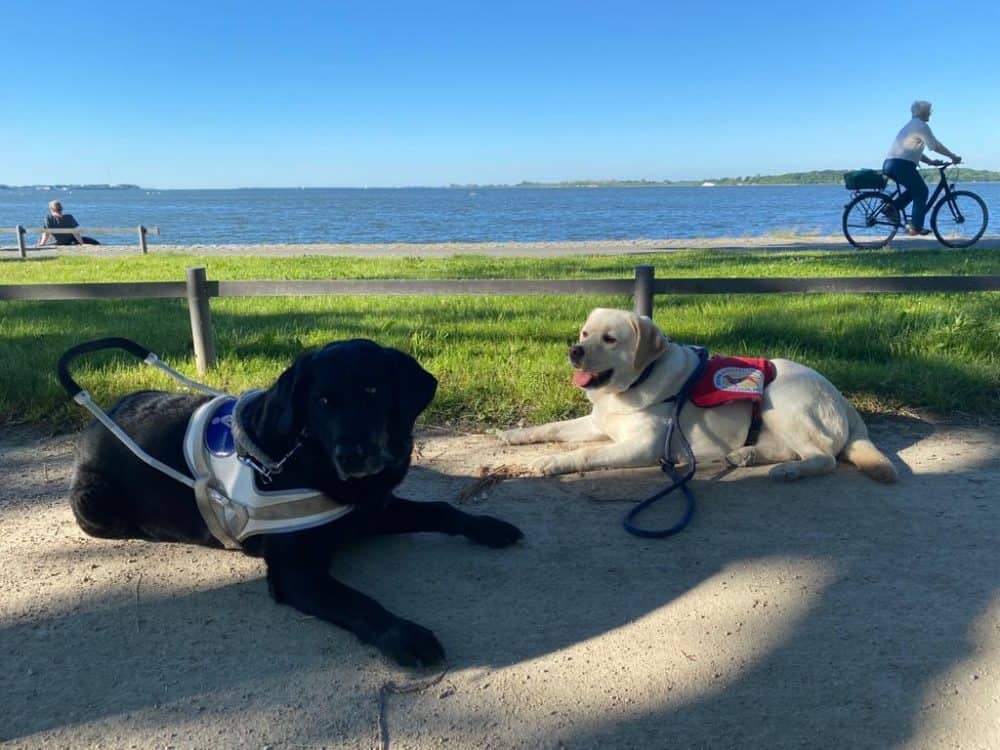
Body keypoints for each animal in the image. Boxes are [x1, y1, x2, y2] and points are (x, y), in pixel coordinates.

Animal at [70, 340, 524, 664]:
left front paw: (487, 526)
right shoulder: (296, 573)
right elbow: (358, 600)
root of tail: (98, 419)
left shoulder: (372, 510)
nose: (352, 455)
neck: (309, 458)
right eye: (321, 401)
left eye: (373, 390)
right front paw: (405, 635)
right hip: (92, 502)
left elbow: (441, 509)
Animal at [500, 308, 900, 484]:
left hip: (780, 399)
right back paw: (746, 454)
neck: (635, 382)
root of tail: (845, 402)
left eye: (609, 339)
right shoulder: (599, 422)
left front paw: (551, 462)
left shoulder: (642, 447)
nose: (574, 351)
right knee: (791, 448)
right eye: (584, 332)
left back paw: (787, 471)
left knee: (823, 457)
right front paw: (515, 435)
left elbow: (587, 453)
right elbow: (552, 427)